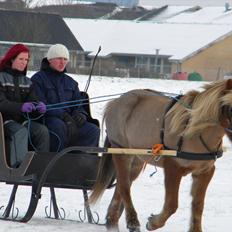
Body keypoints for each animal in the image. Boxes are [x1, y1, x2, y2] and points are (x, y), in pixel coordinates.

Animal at [89, 79, 232, 231]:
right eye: (230, 109)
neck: (196, 131)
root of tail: (116, 101)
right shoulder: (173, 168)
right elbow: (172, 205)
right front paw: (153, 223)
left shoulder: (205, 172)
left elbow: (198, 205)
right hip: (121, 151)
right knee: (124, 186)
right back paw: (132, 220)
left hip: (136, 159)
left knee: (122, 186)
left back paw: (112, 220)